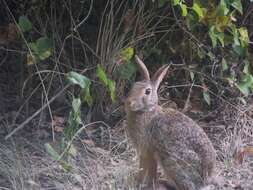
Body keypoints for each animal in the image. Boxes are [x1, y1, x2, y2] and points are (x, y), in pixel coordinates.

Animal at [124, 55, 215, 190]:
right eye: (133, 87)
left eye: (147, 91)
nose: (129, 102)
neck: (146, 111)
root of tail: (206, 179)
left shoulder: (147, 150)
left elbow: (144, 169)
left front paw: (139, 183)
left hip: (172, 161)